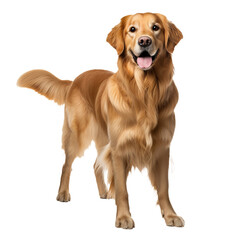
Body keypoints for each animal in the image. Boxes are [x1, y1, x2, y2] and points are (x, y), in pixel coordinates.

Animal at [17, 11, 184, 229]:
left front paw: (170, 215)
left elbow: (164, 188)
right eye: (132, 29)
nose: (144, 41)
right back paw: (63, 193)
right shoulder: (119, 148)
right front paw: (123, 218)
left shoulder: (162, 148)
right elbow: (122, 189)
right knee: (66, 164)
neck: (145, 92)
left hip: (104, 139)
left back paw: (105, 192)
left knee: (96, 165)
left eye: (155, 28)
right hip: (78, 135)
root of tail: (74, 80)